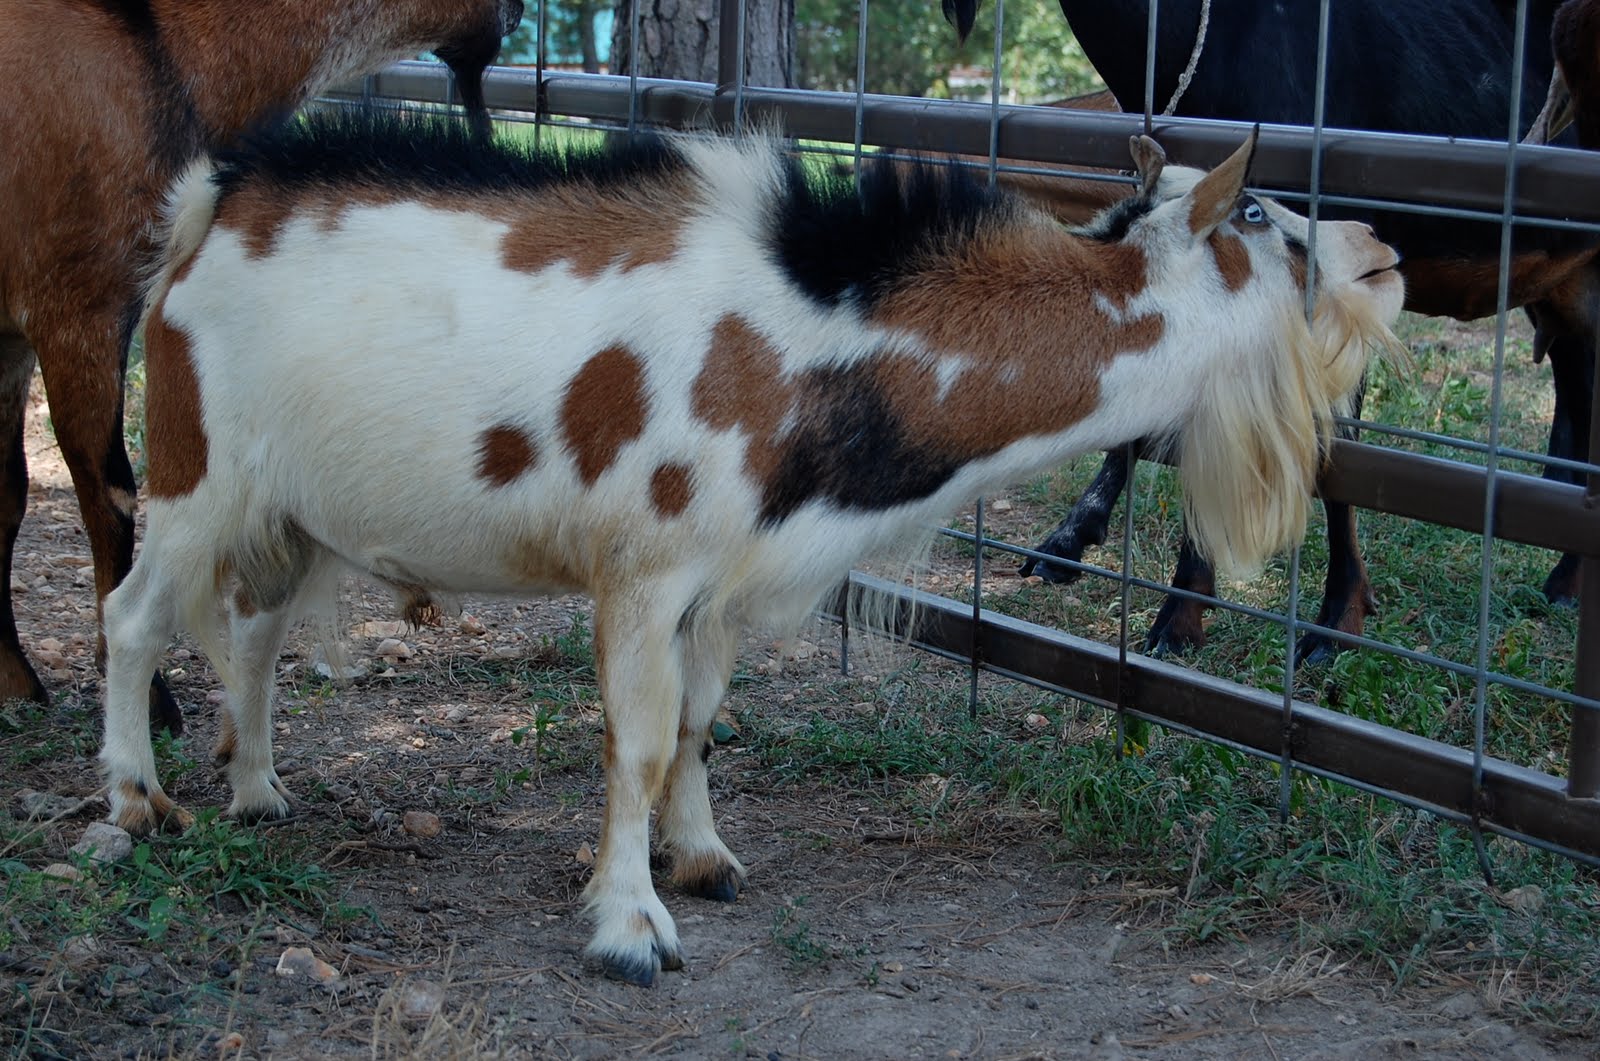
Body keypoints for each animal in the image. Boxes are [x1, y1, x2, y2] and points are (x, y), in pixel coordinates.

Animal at [0, 0, 522, 732]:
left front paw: (12, 680)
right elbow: (110, 495)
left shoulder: (11, 338)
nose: (517, 12)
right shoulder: (77, 304)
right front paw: (148, 696)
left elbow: (8, 495)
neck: (154, 45)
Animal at [99, 110, 1402, 984]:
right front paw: (629, 925)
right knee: (131, 615)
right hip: (197, 475)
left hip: (291, 511)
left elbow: (695, 724)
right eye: (1258, 218)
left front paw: (704, 858)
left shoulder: (716, 590)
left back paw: (259, 790)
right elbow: (633, 740)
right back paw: (133, 800)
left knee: (255, 630)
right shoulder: (641, 571)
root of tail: (210, 209)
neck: (812, 333)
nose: (1383, 254)